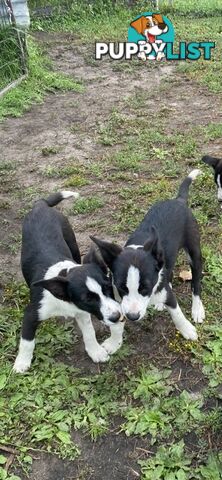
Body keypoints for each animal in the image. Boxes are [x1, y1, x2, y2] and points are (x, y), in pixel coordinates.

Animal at [13, 192, 123, 376]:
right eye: (88, 299)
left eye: (108, 288)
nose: (117, 317)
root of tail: (41, 205)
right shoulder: (31, 314)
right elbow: (27, 342)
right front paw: (21, 363)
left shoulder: (82, 313)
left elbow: (89, 332)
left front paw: (95, 351)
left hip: (71, 240)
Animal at [91, 171, 205, 344]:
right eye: (122, 288)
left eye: (145, 287)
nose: (132, 316)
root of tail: (178, 200)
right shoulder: (118, 297)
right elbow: (117, 322)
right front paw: (113, 342)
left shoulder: (168, 296)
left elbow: (176, 313)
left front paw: (187, 329)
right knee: (169, 271)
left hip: (193, 251)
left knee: (196, 282)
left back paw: (197, 308)